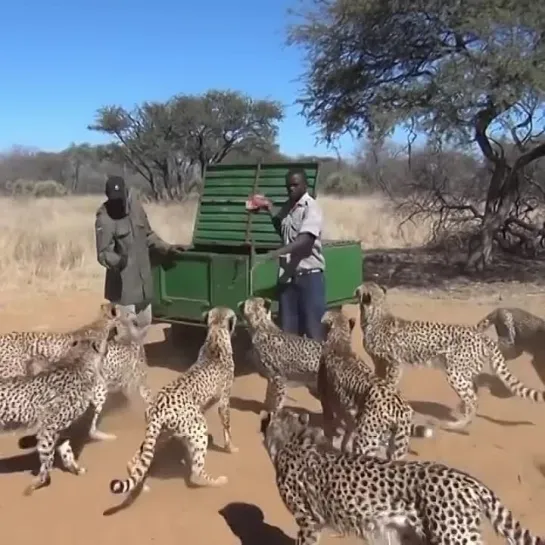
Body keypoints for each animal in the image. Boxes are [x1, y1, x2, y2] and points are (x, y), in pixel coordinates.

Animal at [0, 334, 110, 496]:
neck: (78, 362)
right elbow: (48, 459)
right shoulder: (48, 428)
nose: (107, 348)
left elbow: (66, 451)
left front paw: (75, 468)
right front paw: (38, 482)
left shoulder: (58, 429)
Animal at [108, 304, 238, 496]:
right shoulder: (224, 401)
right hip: (198, 426)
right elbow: (227, 427)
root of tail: (156, 408)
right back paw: (218, 481)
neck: (216, 336)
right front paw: (231, 448)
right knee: (196, 471)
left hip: (161, 433)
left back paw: (140, 481)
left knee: (136, 458)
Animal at [318, 310, 434, 460]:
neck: (340, 340)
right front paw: (343, 448)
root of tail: (401, 406)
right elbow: (347, 433)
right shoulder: (349, 414)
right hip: (396, 447)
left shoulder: (326, 402)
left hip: (366, 442)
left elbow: (329, 431)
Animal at [352, 280, 544, 430]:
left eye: (358, 290)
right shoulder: (380, 363)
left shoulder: (394, 363)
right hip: (466, 372)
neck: (376, 313)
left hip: (455, 372)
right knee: (473, 393)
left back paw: (457, 425)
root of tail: (482, 336)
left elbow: (389, 383)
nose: (353, 291)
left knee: (473, 400)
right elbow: (378, 380)